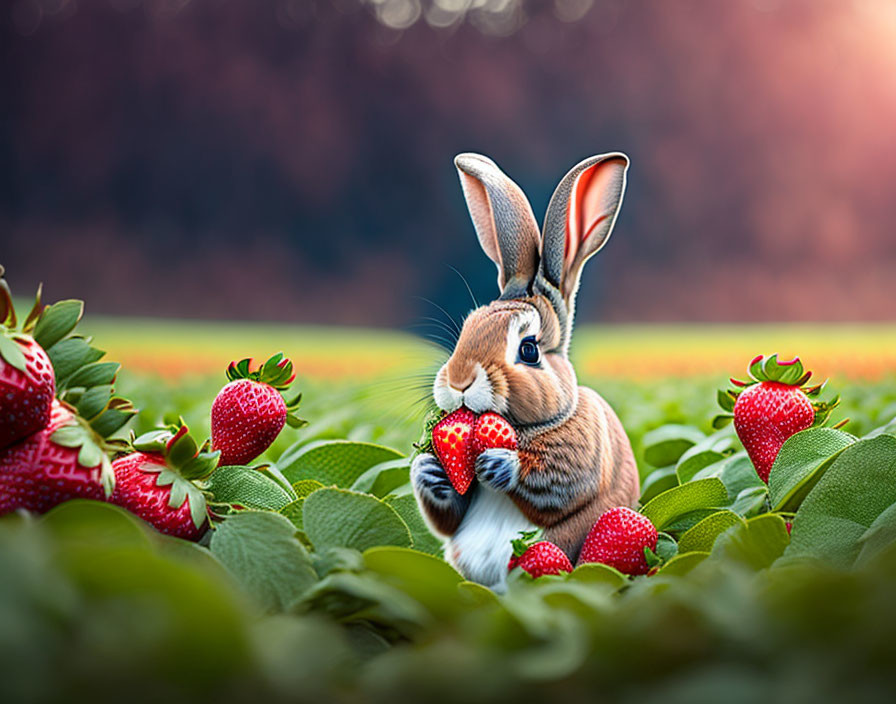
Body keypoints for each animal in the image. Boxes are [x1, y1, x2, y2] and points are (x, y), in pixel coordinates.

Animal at [412, 150, 644, 588]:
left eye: (529, 349)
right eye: (467, 329)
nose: (459, 382)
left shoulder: (577, 460)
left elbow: (557, 484)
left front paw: (498, 464)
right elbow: (449, 514)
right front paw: (427, 469)